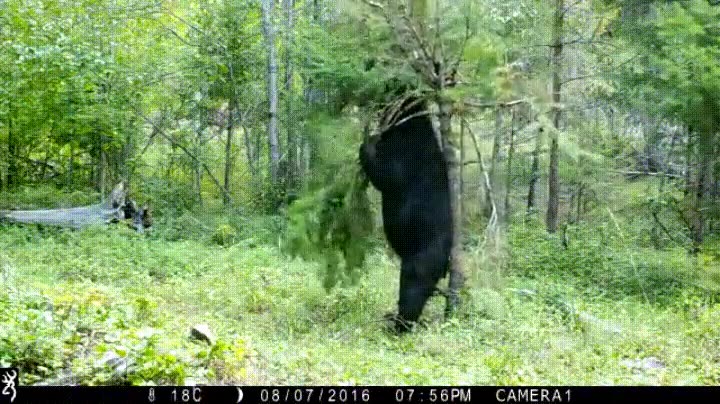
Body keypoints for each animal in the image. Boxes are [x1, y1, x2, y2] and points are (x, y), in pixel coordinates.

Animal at [359, 95, 453, 333]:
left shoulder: (407, 154)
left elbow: (386, 175)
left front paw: (367, 143)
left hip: (423, 255)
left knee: (413, 288)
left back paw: (399, 325)